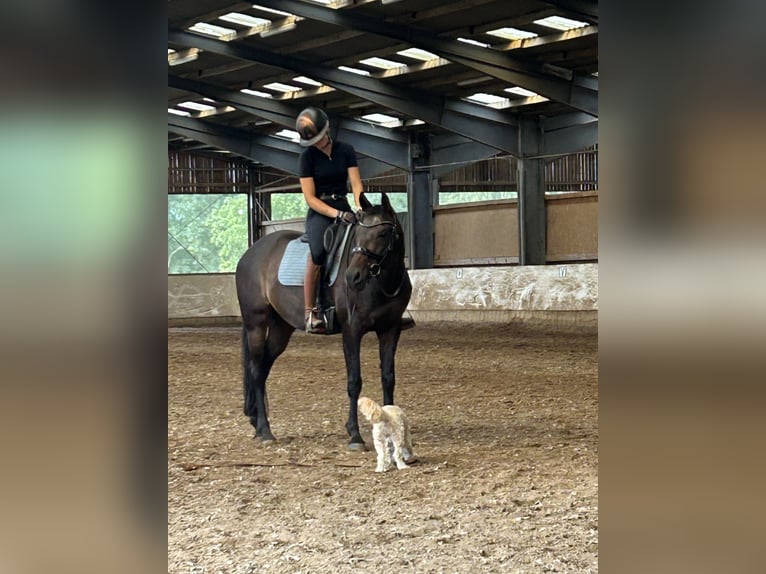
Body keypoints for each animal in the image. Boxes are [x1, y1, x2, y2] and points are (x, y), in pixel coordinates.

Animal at [236, 192, 412, 450]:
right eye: (357, 235)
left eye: (381, 234)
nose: (352, 277)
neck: (381, 282)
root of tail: (250, 253)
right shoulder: (352, 330)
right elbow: (354, 381)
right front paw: (355, 435)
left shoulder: (390, 330)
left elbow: (388, 378)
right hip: (256, 323)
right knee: (257, 370)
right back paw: (266, 431)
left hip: (281, 327)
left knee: (265, 366)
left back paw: (257, 424)